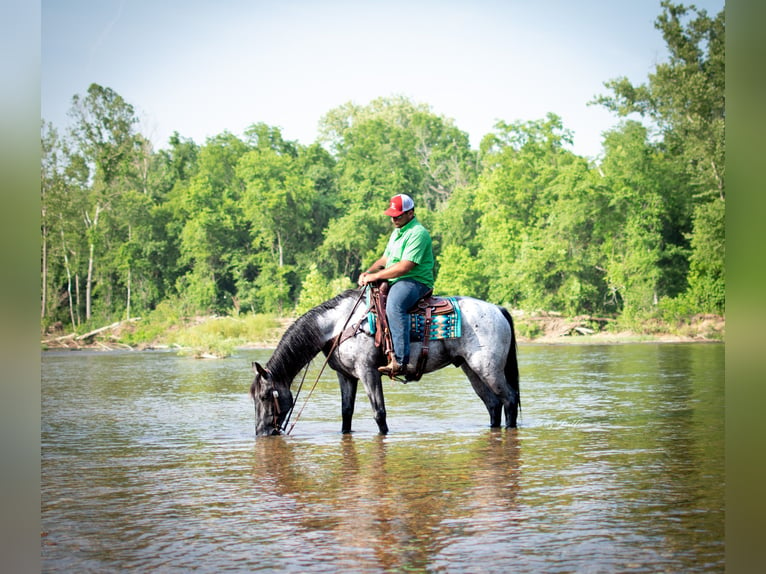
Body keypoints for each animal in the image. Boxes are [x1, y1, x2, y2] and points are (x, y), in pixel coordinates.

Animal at [252, 288, 520, 436]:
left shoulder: (368, 371)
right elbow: (346, 413)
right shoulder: (346, 376)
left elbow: (379, 413)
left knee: (509, 399)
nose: (262, 433)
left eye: (265, 396)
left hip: (489, 369)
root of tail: (498, 309)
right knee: (493, 404)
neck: (340, 325)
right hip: (471, 369)